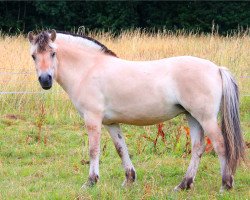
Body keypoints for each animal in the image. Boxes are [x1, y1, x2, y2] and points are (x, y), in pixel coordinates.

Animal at [27, 30, 244, 192]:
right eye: (34, 56)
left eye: (53, 53)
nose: (45, 80)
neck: (88, 69)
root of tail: (216, 68)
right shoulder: (110, 123)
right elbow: (121, 149)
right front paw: (129, 179)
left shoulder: (93, 119)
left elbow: (93, 150)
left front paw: (91, 182)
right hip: (193, 118)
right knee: (198, 148)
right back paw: (183, 185)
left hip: (206, 118)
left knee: (221, 145)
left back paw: (225, 185)